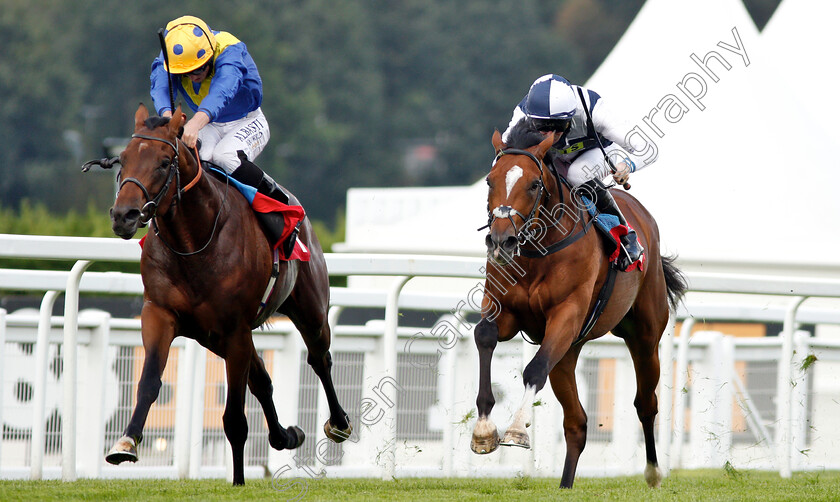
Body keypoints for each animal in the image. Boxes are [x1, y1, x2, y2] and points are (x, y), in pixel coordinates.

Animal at [90, 106, 352, 486]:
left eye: (165, 162)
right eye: (122, 159)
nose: (124, 215)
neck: (193, 243)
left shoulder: (235, 329)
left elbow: (234, 417)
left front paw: (239, 481)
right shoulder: (160, 314)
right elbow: (149, 382)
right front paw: (126, 442)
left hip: (309, 311)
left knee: (320, 359)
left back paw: (340, 423)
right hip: (211, 336)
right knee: (262, 379)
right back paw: (285, 435)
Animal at [470, 119, 684, 488]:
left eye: (534, 184)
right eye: (489, 181)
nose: (501, 240)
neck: (538, 250)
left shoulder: (566, 315)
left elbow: (533, 369)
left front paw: (516, 430)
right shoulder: (504, 310)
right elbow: (484, 336)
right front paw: (483, 429)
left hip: (644, 335)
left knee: (646, 403)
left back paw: (654, 472)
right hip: (567, 353)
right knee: (577, 423)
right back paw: (565, 484)